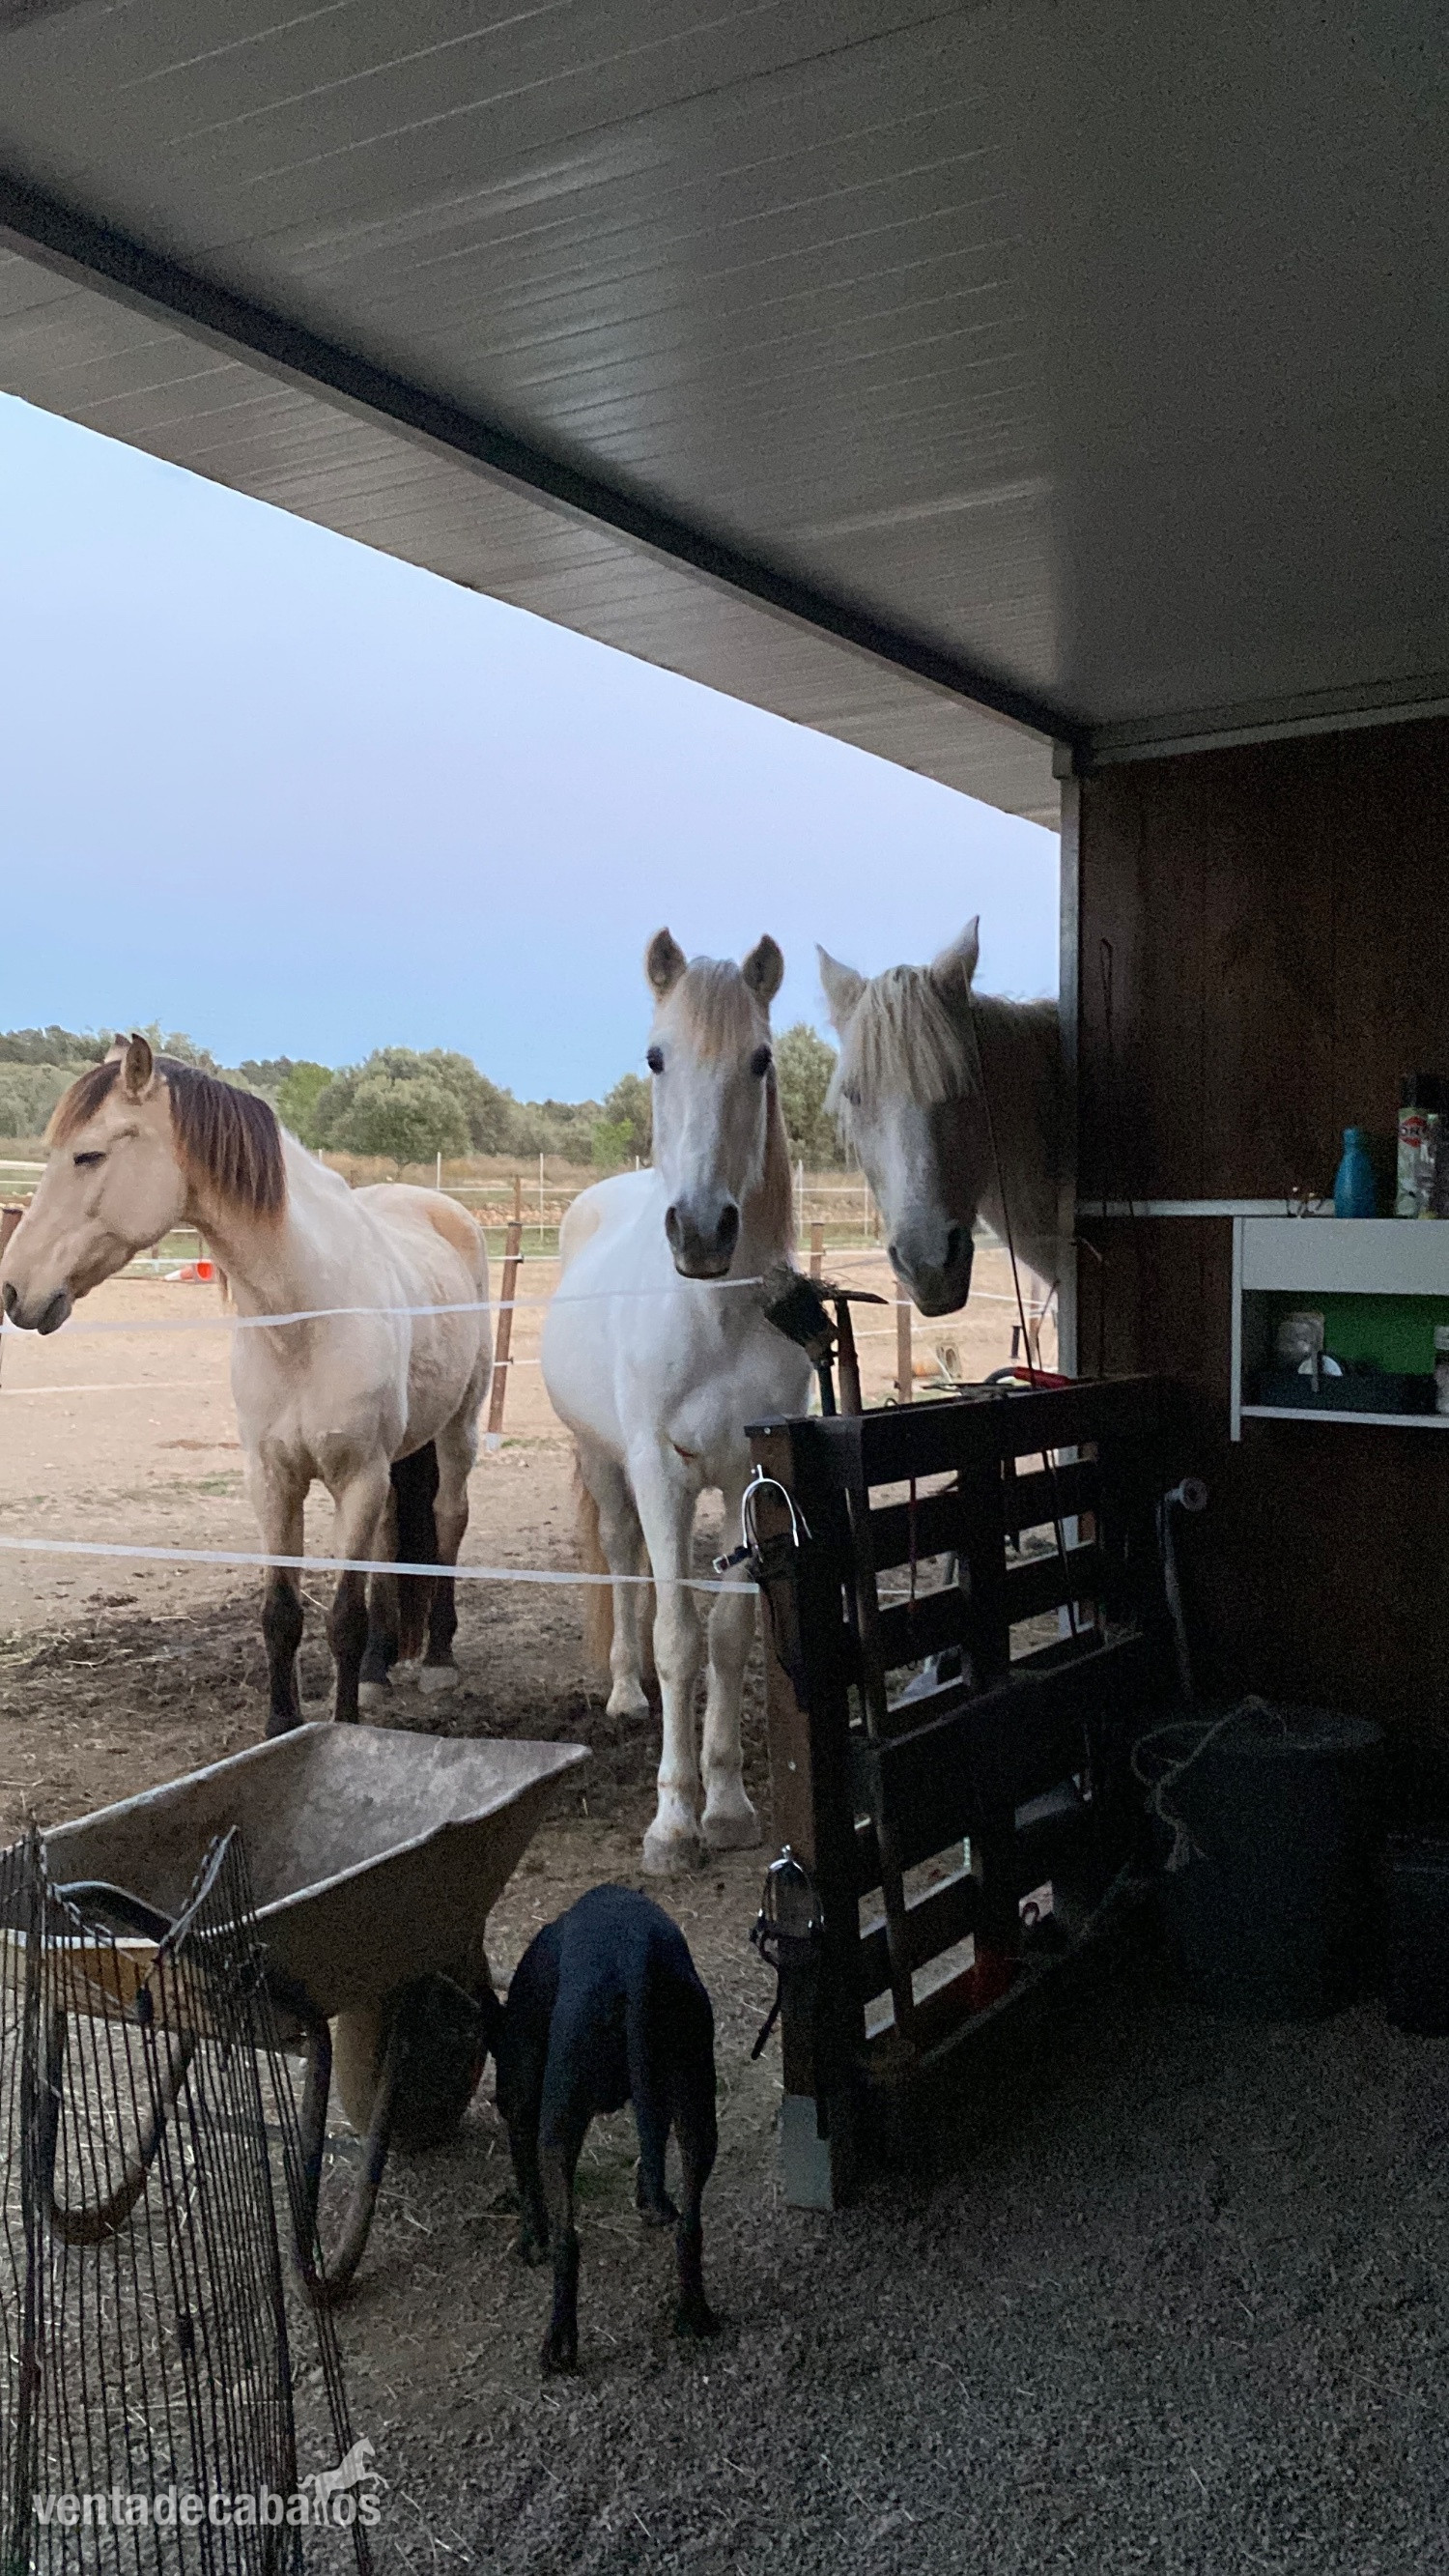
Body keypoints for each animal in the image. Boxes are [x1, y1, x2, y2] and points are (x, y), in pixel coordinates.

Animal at [0, 1035, 492, 1731]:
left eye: (88, 1155)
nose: (15, 1291)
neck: (304, 1318)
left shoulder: (357, 1477)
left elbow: (342, 1618)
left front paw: (344, 1728)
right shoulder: (271, 1479)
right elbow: (280, 1615)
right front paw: (282, 1727)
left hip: (458, 1428)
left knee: (449, 1518)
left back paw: (439, 1659)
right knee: (392, 1540)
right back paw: (376, 1671)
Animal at [541, 933, 811, 1875]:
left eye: (760, 1060)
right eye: (656, 1057)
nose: (700, 1232)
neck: (713, 1316)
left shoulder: (747, 1482)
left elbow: (727, 1637)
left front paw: (725, 1806)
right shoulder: (660, 1471)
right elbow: (676, 1638)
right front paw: (671, 1820)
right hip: (605, 1462)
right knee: (626, 1567)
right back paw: (626, 1693)